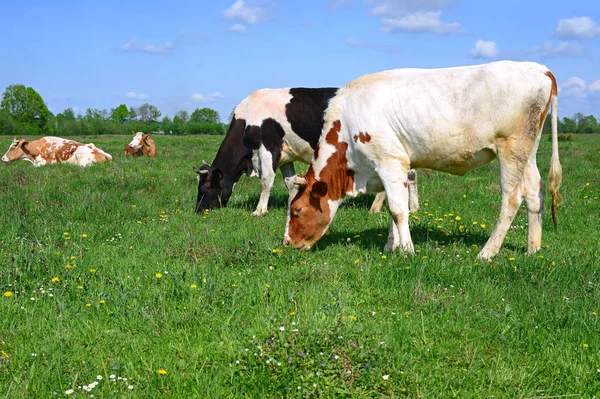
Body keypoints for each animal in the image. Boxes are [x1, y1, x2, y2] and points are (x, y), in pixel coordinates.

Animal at [196, 87, 418, 217]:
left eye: (204, 188)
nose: (198, 211)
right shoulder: (285, 156)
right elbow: (290, 182)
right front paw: (293, 203)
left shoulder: (268, 148)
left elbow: (266, 181)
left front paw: (259, 211)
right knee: (409, 175)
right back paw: (406, 207)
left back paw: (385, 207)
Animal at [284, 61, 560, 262]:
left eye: (297, 210)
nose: (287, 243)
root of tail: (540, 69)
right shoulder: (391, 168)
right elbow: (393, 209)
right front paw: (391, 246)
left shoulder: (390, 161)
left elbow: (398, 210)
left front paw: (406, 250)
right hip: (528, 149)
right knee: (535, 191)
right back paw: (533, 248)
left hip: (511, 148)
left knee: (511, 199)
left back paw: (486, 252)